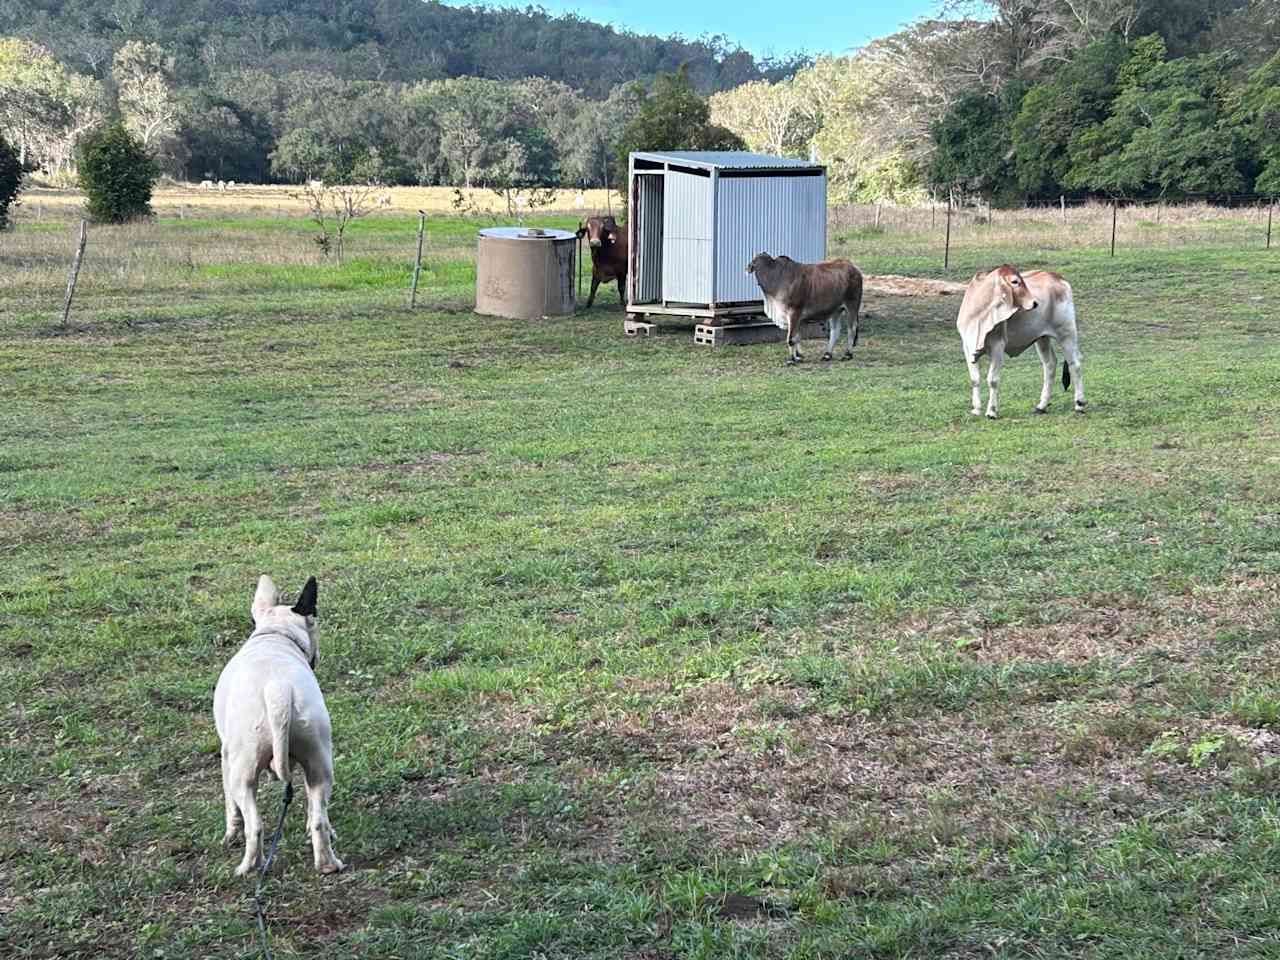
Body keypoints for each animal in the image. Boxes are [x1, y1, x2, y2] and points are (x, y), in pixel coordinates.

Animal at [215, 576, 345, 875]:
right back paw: (327, 863)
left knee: (255, 825)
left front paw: (230, 834)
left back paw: (247, 868)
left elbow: (230, 806)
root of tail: (279, 690)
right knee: (318, 817)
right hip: (319, 760)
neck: (276, 635)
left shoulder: (226, 758)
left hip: (242, 771)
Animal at [957, 264, 1085, 419]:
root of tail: (1058, 278)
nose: (1035, 303)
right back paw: (1041, 406)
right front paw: (976, 409)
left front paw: (992, 411)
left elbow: (993, 380)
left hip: (1066, 333)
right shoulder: (967, 346)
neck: (979, 314)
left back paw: (1079, 404)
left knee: (1075, 364)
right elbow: (974, 379)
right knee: (1050, 365)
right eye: (1015, 281)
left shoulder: (997, 346)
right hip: (1042, 338)